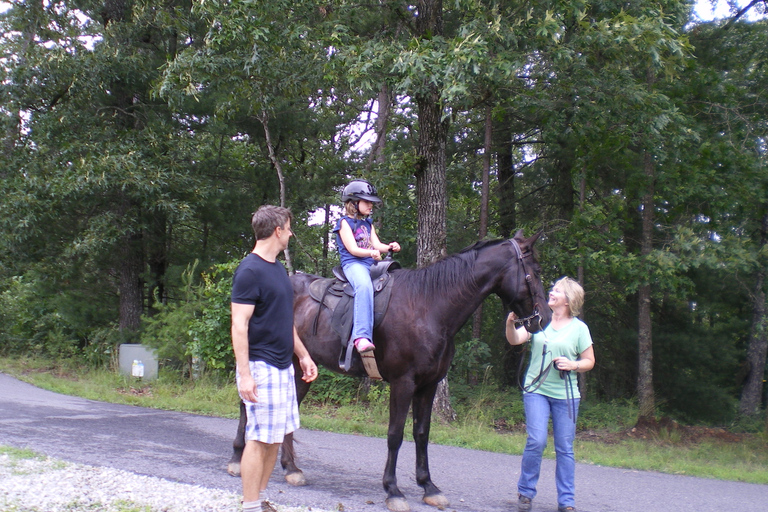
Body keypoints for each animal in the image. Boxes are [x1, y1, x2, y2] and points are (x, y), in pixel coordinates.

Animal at [225, 232, 548, 512]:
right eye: (536, 271)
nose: (542, 318)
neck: (430, 307)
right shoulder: (403, 383)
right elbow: (395, 435)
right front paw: (393, 490)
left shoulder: (429, 385)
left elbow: (421, 433)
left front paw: (428, 486)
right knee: (245, 404)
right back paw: (238, 459)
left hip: (300, 367)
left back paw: (291, 468)